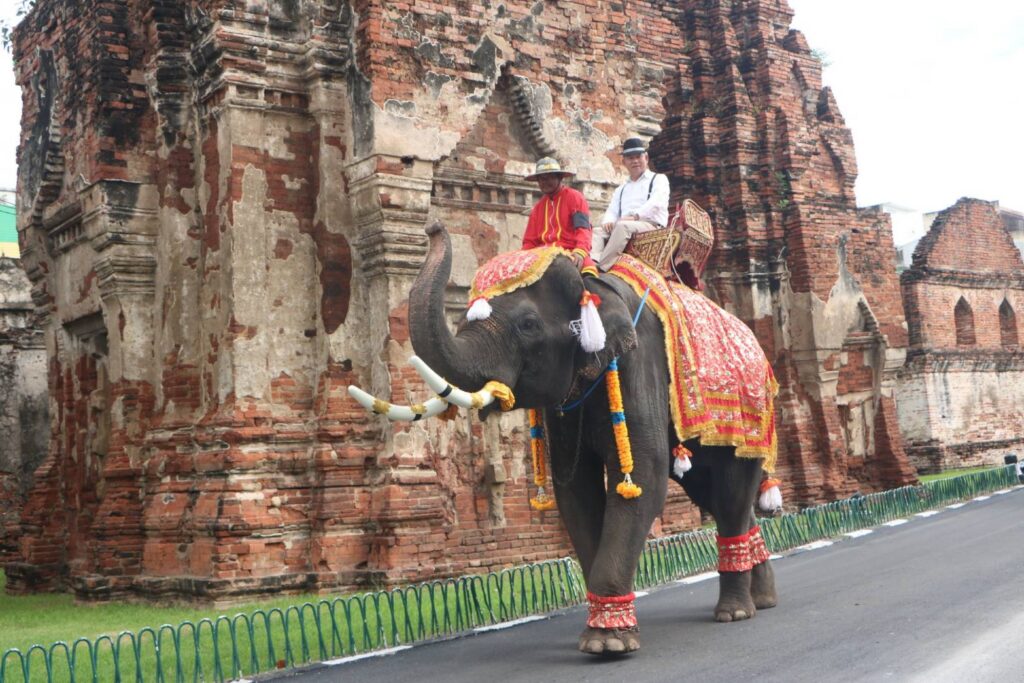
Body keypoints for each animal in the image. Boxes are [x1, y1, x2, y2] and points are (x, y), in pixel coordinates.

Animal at [349, 221, 779, 655]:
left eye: (527, 325)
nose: (433, 226)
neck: (590, 280)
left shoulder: (638, 364)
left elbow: (643, 478)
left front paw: (608, 643)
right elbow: (574, 489)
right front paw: (603, 630)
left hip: (750, 417)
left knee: (730, 491)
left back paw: (735, 612)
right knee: (715, 493)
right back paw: (761, 599)